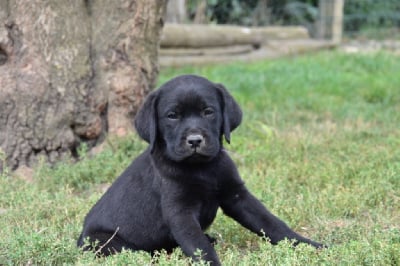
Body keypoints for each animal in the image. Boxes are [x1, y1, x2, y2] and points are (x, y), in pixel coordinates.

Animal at [76, 75, 324, 266]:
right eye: (172, 116)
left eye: (208, 112)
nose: (195, 140)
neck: (202, 168)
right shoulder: (180, 212)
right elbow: (198, 246)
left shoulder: (237, 195)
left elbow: (271, 223)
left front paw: (309, 245)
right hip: (105, 241)